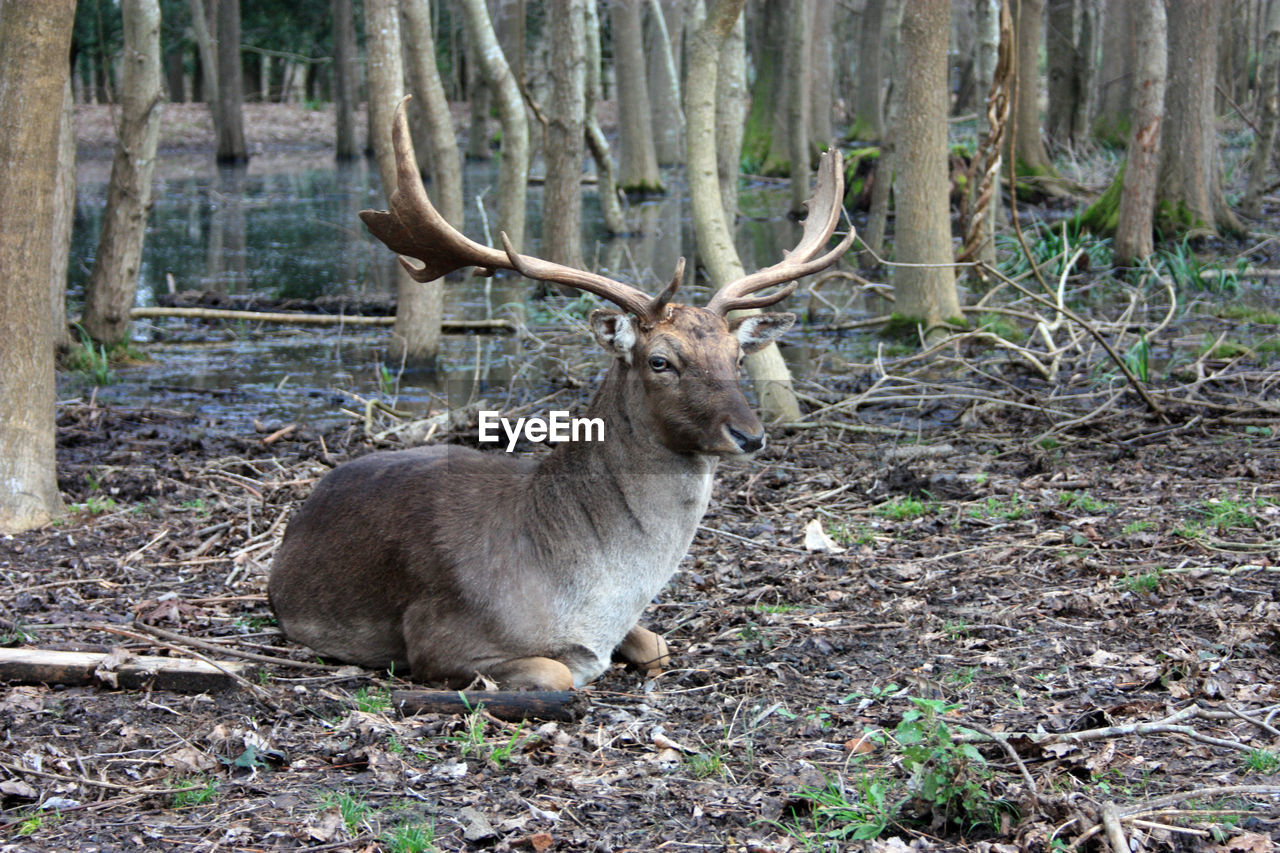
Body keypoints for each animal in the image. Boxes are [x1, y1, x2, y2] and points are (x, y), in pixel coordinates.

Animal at [267, 96, 849, 686]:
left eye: (737, 358)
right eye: (660, 361)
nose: (751, 435)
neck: (593, 600)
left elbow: (658, 646)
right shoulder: (438, 635)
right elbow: (557, 673)